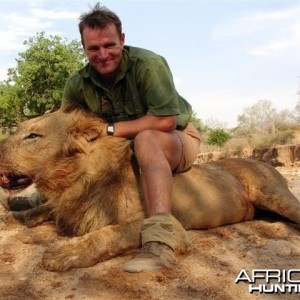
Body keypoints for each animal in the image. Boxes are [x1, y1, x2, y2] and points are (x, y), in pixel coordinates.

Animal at [0, 107, 300, 272]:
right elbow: (41, 209)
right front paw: (12, 217)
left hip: (274, 195)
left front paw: (64, 254)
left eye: (33, 136)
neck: (75, 180)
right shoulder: (66, 205)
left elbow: (109, 233)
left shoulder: (166, 223)